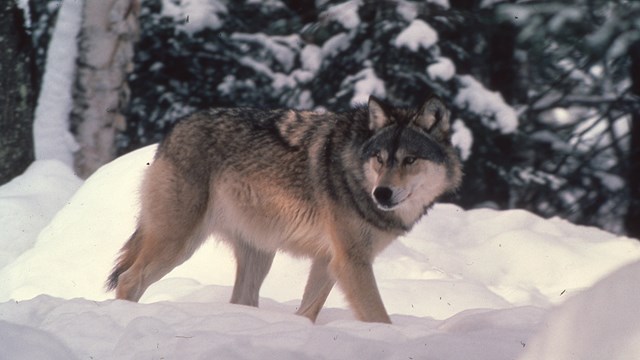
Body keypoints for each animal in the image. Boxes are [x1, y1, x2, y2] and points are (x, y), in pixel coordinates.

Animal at [107, 95, 462, 324]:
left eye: (409, 159)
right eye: (380, 158)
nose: (382, 193)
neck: (353, 168)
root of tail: (172, 131)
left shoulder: (330, 260)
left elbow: (307, 311)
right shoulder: (351, 262)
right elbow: (379, 318)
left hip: (259, 254)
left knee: (242, 301)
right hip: (179, 244)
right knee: (128, 279)